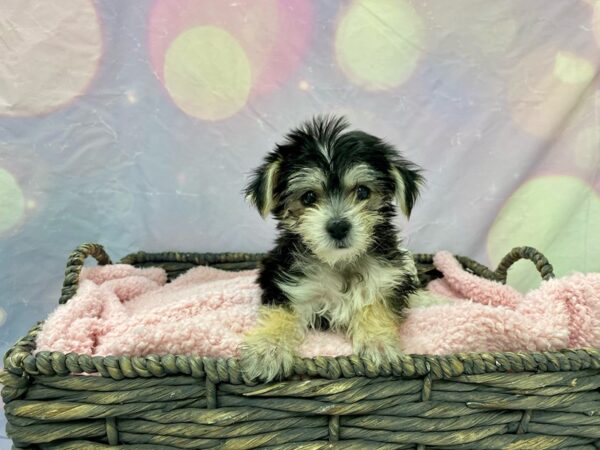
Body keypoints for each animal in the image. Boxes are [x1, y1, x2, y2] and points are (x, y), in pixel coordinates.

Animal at [241, 115, 424, 380]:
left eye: (362, 192)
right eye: (308, 197)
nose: (338, 227)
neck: (339, 261)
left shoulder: (388, 280)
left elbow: (376, 305)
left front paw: (378, 342)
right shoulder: (285, 283)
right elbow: (282, 312)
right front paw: (267, 349)